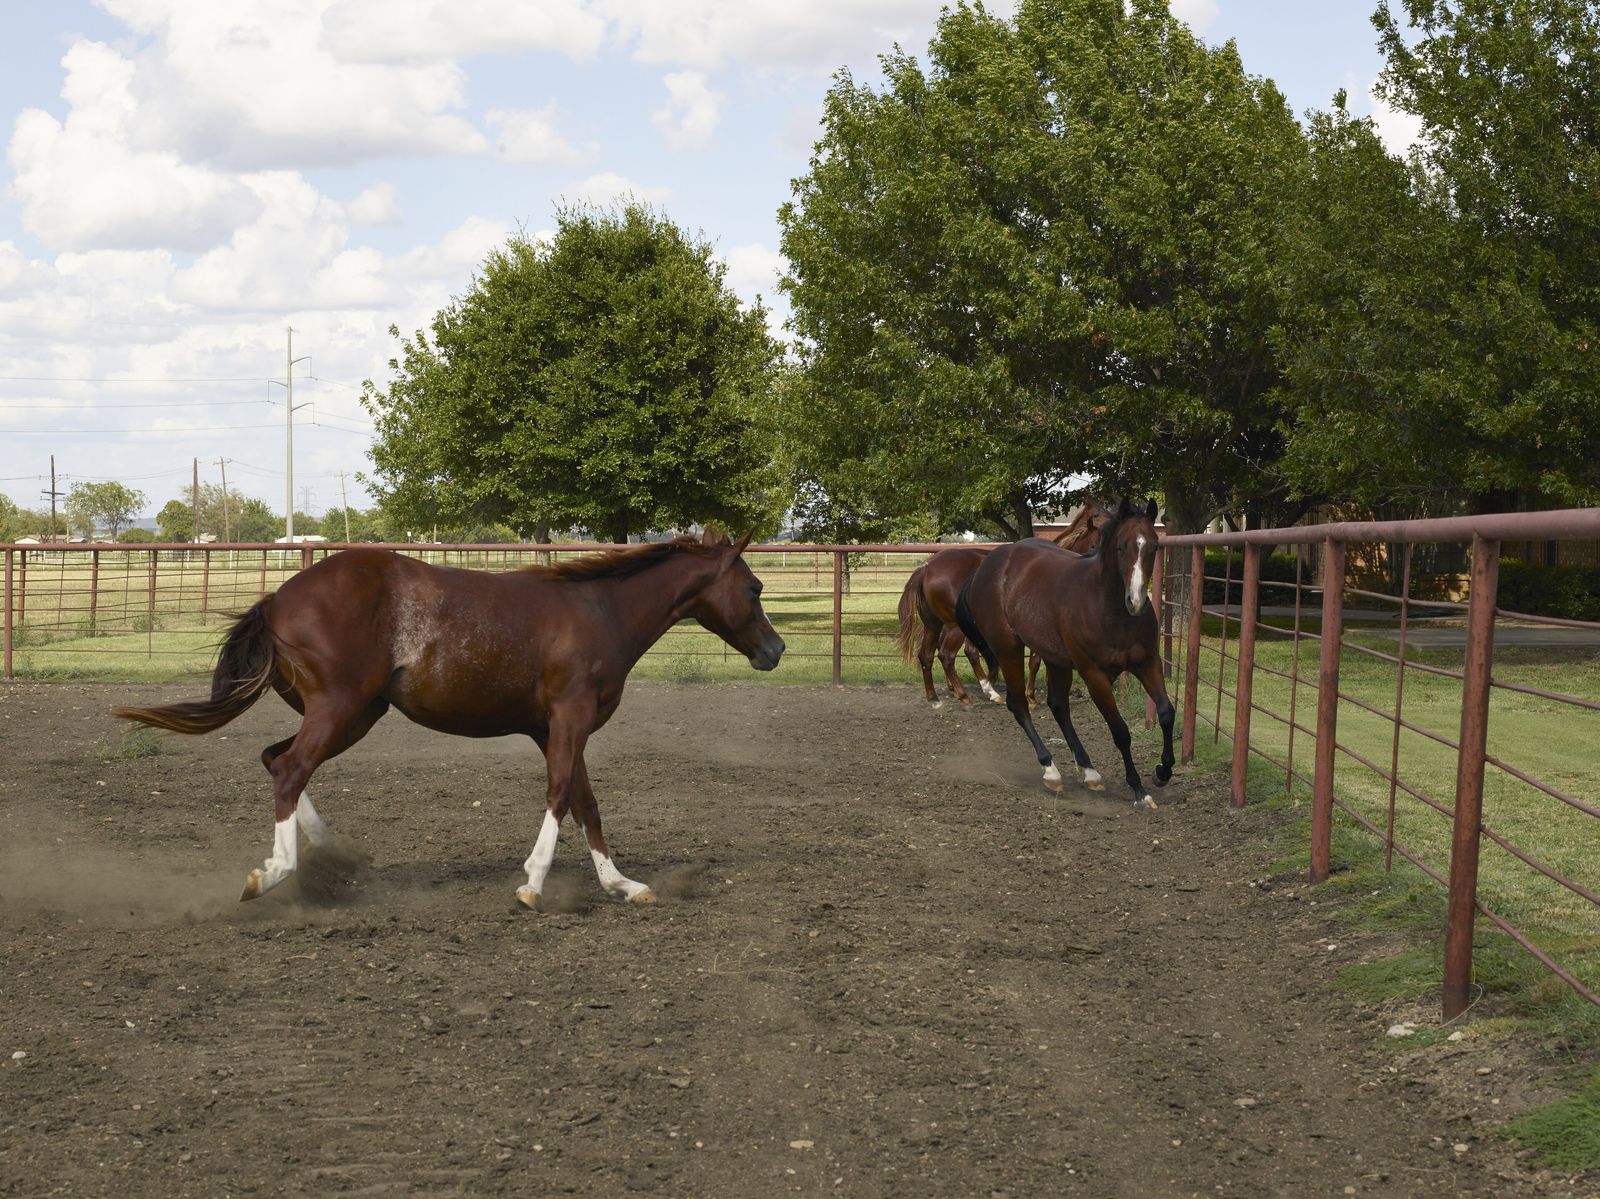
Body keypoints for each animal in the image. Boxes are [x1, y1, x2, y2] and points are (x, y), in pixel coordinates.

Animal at [111, 528, 785, 909]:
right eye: (753, 588)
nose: (775, 650)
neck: (600, 612)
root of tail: (277, 599)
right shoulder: (568, 719)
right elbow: (560, 794)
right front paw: (533, 884)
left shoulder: (555, 728)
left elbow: (587, 803)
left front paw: (624, 885)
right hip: (342, 709)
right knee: (290, 769)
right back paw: (275, 873)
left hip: (353, 714)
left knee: (276, 760)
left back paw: (335, 858)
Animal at [955, 498, 1175, 809]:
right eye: (1121, 547)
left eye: (1154, 546)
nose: (1136, 601)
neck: (1107, 609)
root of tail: (986, 566)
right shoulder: (1094, 675)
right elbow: (1120, 731)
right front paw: (1139, 790)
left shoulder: (1147, 663)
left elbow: (1166, 713)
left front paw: (1162, 772)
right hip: (1008, 650)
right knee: (1019, 705)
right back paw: (1051, 771)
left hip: (1055, 659)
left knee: (1058, 706)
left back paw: (1090, 772)